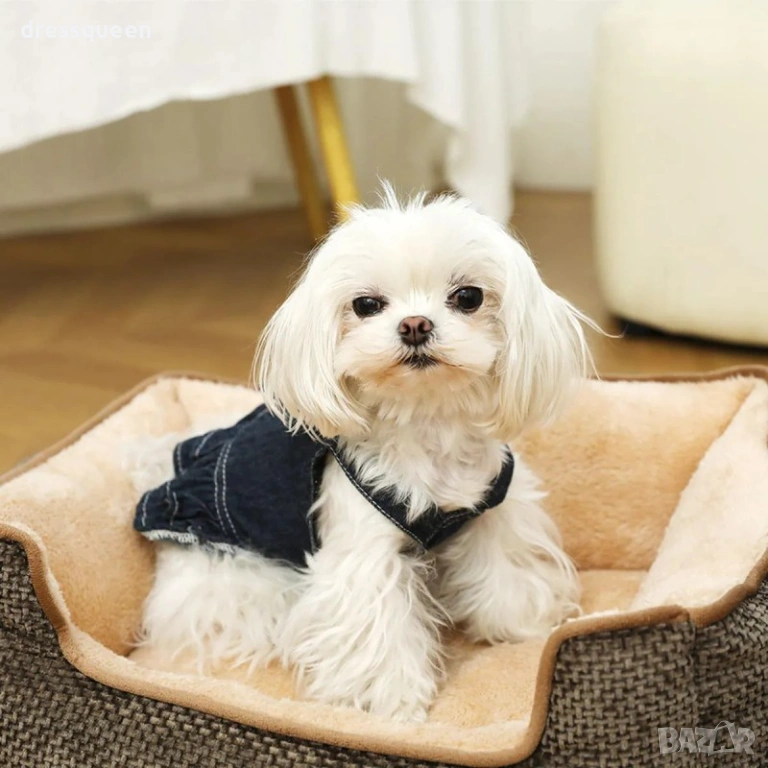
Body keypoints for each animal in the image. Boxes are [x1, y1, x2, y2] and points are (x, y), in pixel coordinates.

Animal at [131, 186, 593, 722]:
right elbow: (376, 620)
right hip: (243, 577)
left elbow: (504, 567)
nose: (415, 325)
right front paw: (393, 702)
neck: (425, 423)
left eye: (469, 296)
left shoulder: (490, 513)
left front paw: (520, 624)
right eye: (366, 304)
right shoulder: (363, 549)